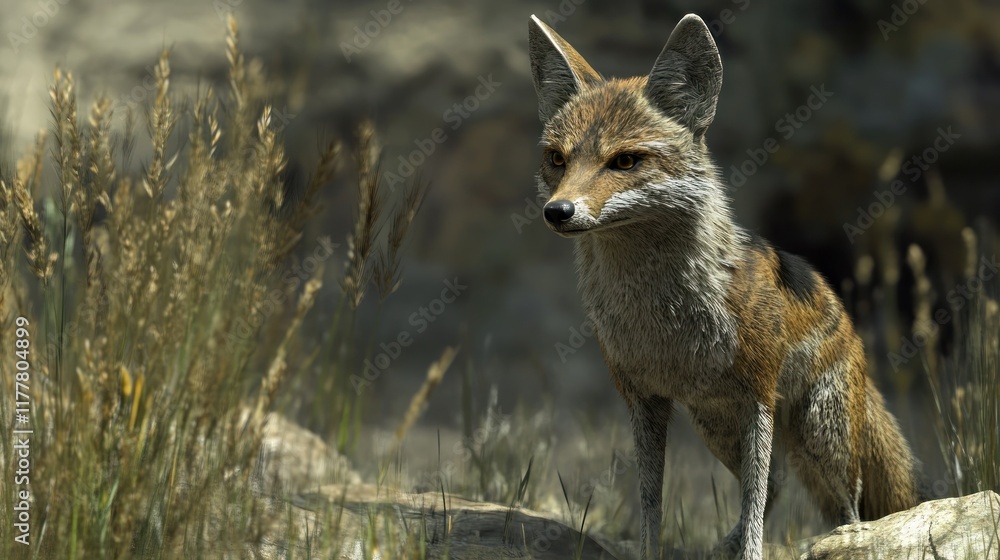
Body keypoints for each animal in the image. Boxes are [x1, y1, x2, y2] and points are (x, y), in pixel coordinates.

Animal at [527, 13, 923, 560]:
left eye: (625, 161)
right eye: (556, 159)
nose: (558, 211)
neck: (664, 323)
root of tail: (847, 321)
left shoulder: (758, 396)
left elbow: (754, 507)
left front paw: (752, 552)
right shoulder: (644, 401)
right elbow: (652, 505)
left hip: (819, 438)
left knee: (846, 509)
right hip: (717, 426)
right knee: (777, 487)